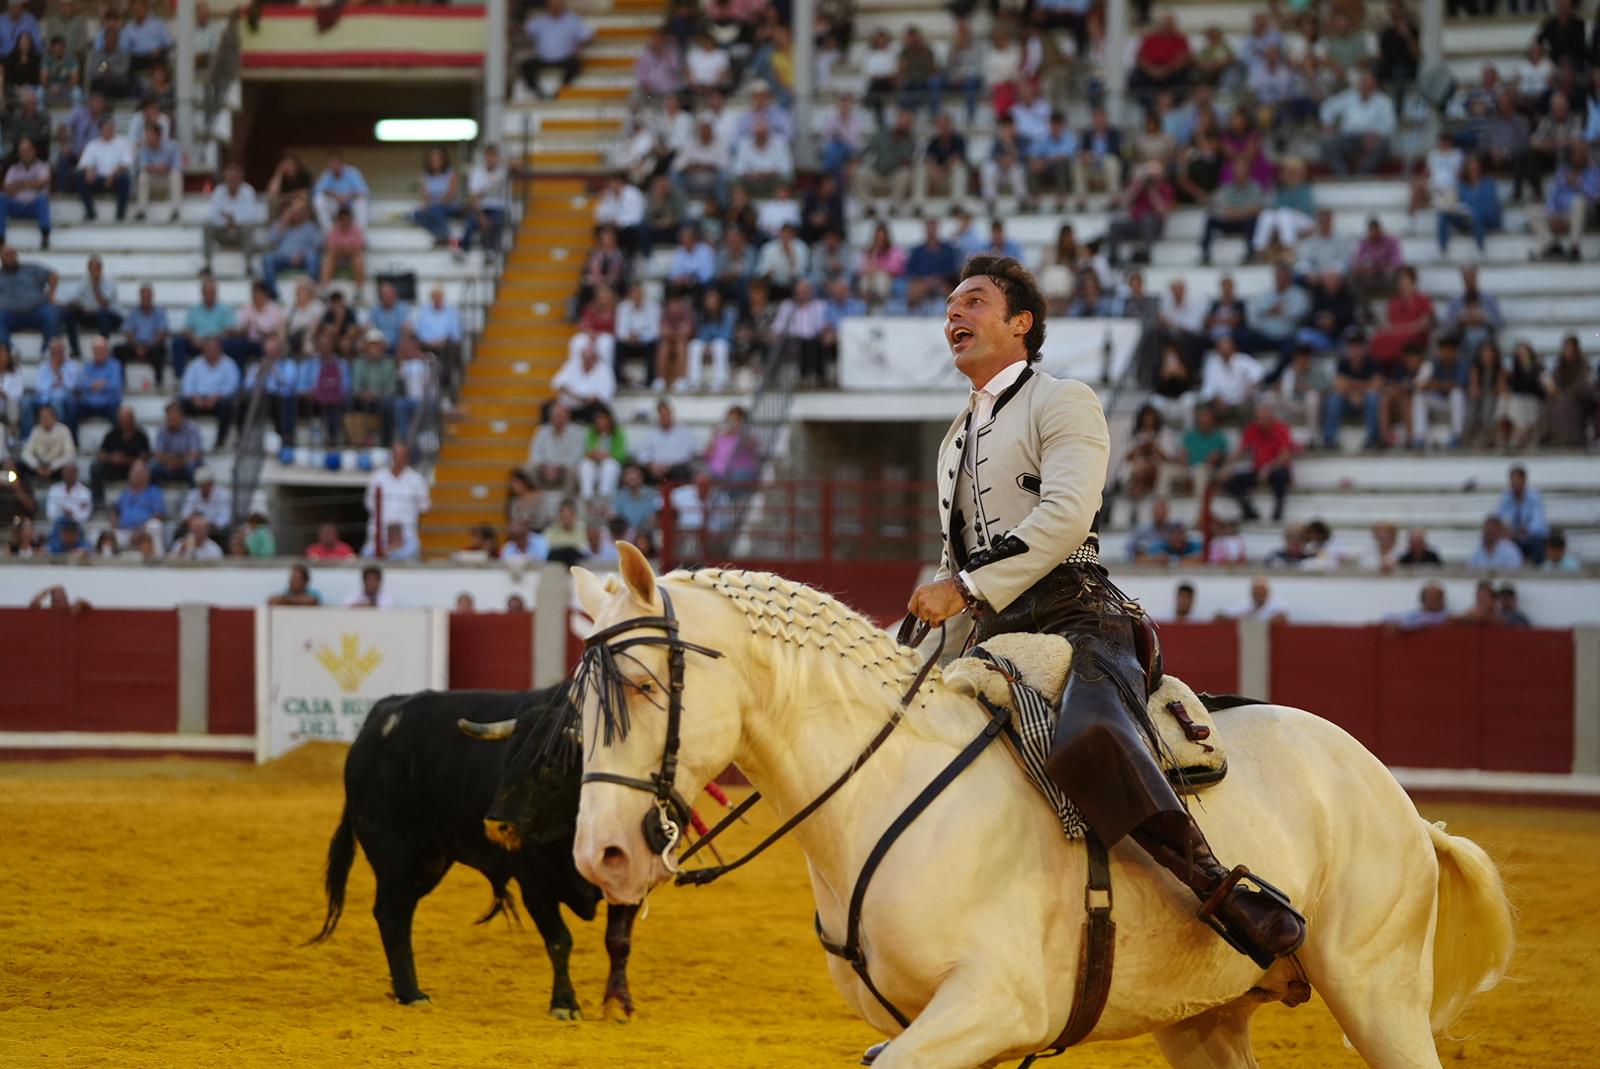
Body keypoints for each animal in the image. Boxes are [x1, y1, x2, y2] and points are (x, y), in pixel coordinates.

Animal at [312, 684, 636, 1017]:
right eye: (507, 759)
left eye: (550, 764)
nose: (496, 824)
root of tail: (383, 713)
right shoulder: (534, 884)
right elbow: (559, 940)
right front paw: (564, 1004)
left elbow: (618, 941)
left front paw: (617, 1006)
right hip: (394, 855)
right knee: (392, 915)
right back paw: (410, 993)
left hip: (429, 862)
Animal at [572, 550, 1510, 1069]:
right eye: (579, 703)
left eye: (646, 683)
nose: (601, 856)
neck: (883, 789)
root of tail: (1399, 801)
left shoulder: (994, 1003)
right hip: (1202, 1021)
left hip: (1378, 993)